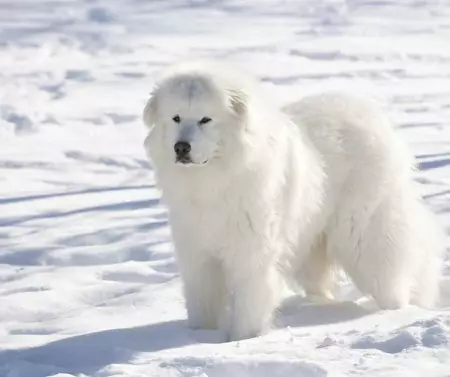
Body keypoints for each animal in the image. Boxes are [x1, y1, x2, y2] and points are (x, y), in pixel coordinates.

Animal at [143, 61, 442, 340]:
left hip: (363, 237)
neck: (213, 181)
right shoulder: (197, 254)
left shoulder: (252, 252)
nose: (181, 148)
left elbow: (250, 301)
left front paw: (243, 339)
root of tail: (373, 115)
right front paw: (199, 336)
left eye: (206, 119)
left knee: (390, 278)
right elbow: (201, 302)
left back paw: (394, 314)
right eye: (176, 118)